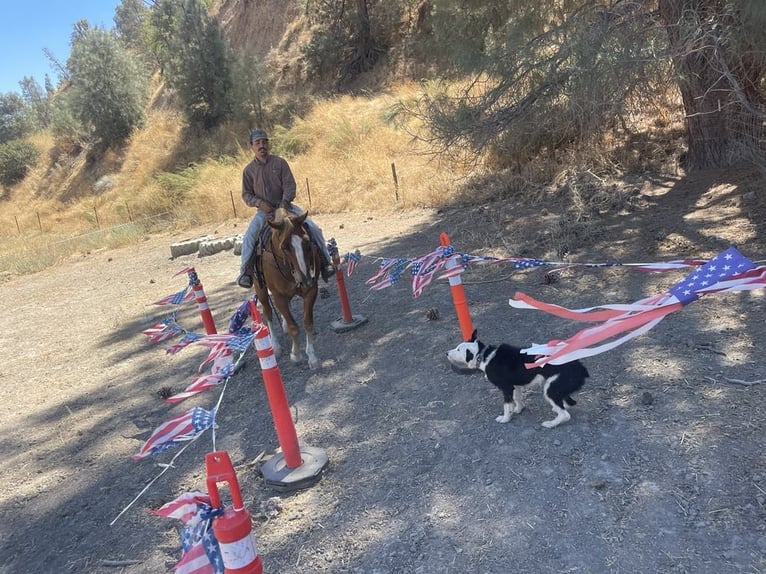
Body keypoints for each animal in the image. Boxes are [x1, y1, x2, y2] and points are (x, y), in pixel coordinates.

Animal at [254, 209, 322, 372]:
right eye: (284, 247)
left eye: (307, 242)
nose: (306, 279)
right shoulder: (278, 296)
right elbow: (293, 327)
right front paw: (296, 355)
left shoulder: (311, 290)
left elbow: (307, 323)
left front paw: (312, 357)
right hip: (261, 290)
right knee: (268, 313)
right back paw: (275, 346)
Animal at [448, 330, 592, 430]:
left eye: (458, 349)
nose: (447, 353)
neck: (484, 356)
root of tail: (580, 367)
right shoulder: (515, 386)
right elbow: (517, 399)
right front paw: (518, 410)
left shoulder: (506, 387)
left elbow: (507, 405)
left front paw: (505, 418)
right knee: (567, 403)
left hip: (550, 389)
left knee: (565, 415)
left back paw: (550, 424)